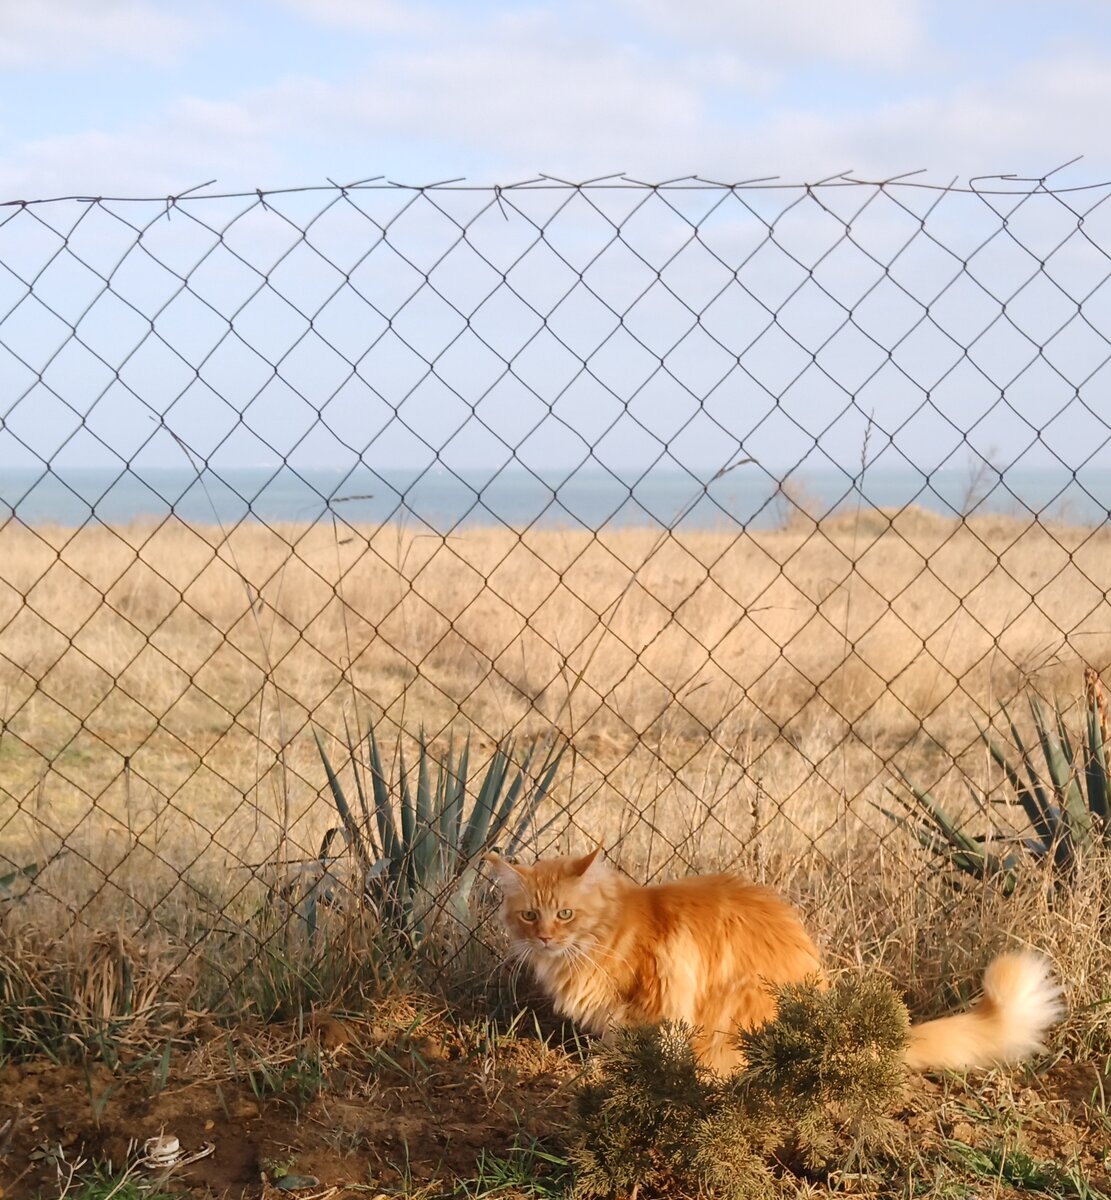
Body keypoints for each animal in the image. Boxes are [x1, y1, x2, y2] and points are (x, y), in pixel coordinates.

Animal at [491, 849, 1065, 1075]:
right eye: (529, 915)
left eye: (565, 914)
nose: (544, 938)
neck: (609, 932)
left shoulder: (654, 999)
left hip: (740, 999)